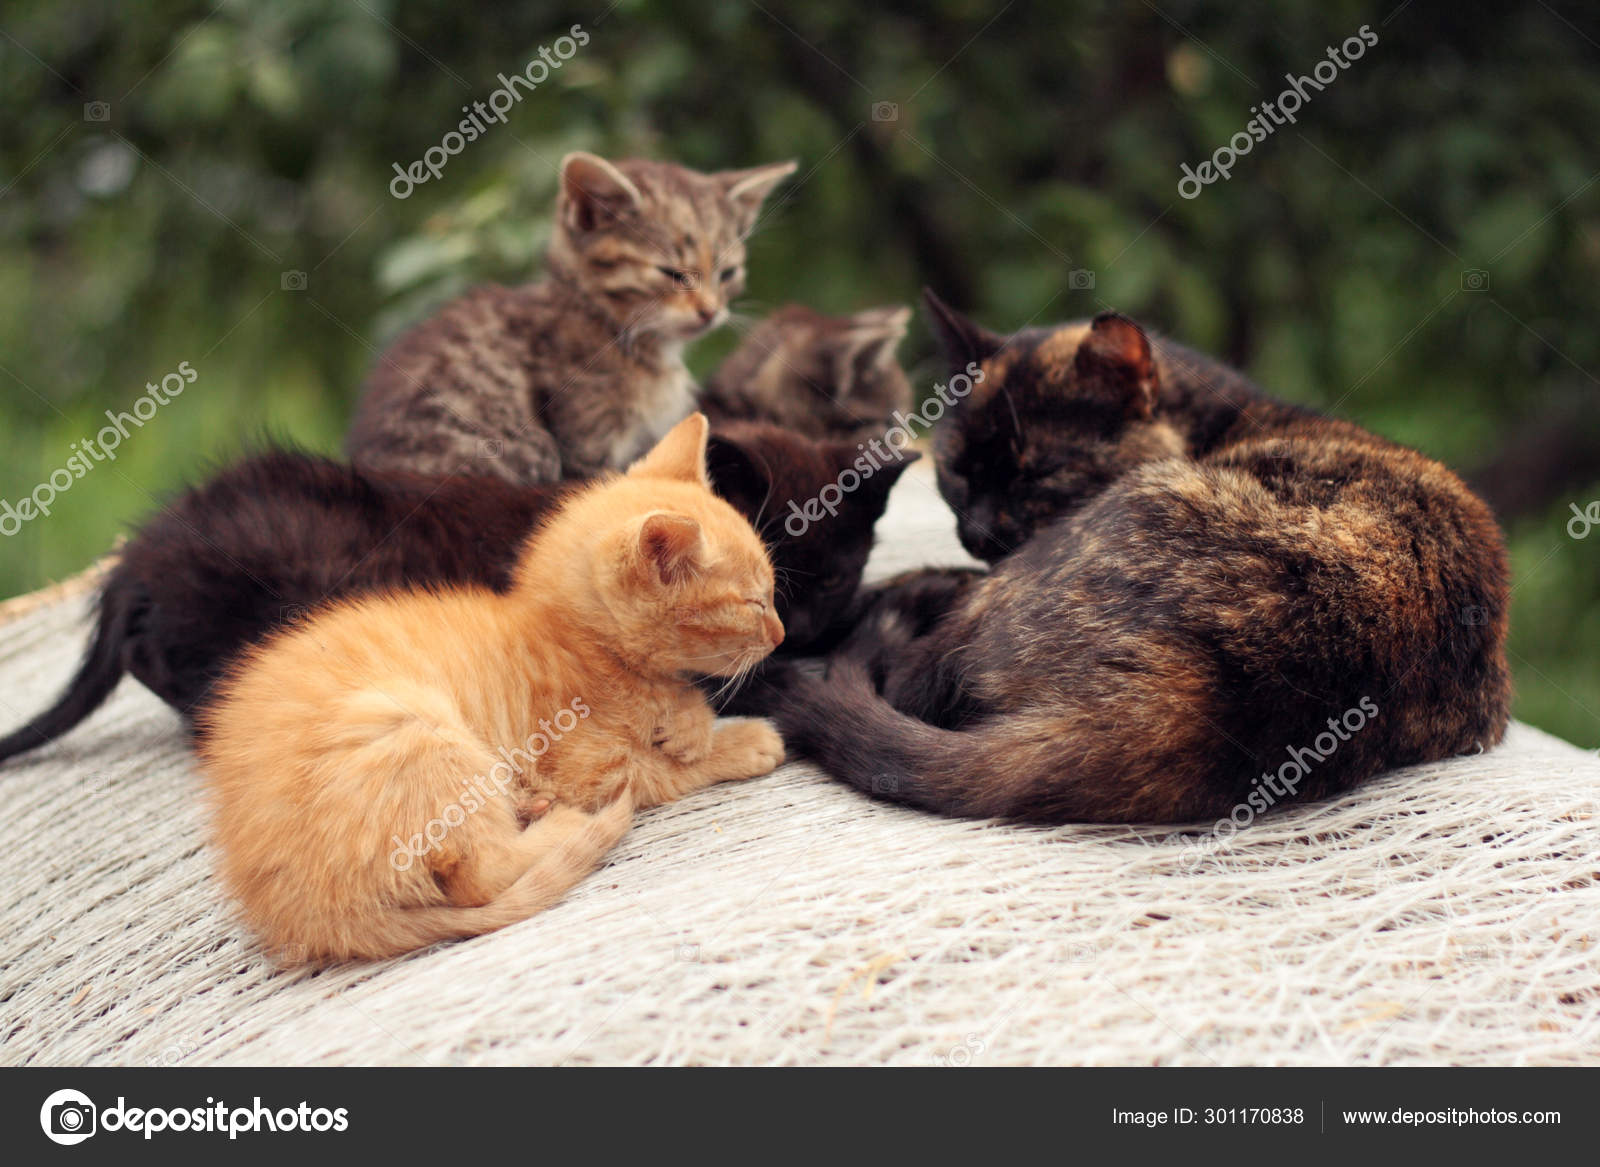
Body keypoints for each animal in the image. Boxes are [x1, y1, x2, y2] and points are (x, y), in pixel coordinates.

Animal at [196, 413, 784, 960]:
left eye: (772, 594)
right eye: (754, 603)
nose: (780, 635)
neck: (572, 639)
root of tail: (305, 916)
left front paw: (691, 722)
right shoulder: (589, 766)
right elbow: (664, 771)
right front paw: (741, 740)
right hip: (410, 727)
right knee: (477, 876)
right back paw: (558, 824)